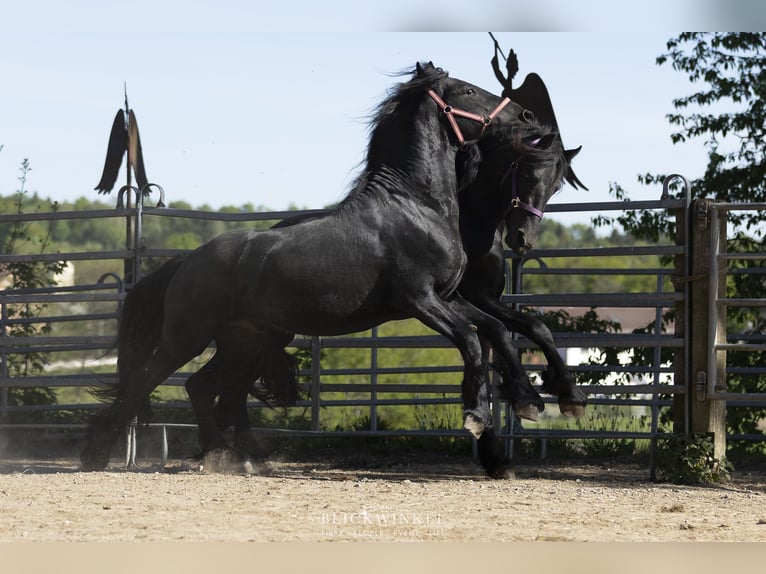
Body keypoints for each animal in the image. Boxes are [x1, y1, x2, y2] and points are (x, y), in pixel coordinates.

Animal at [80, 62, 553, 473]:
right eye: (468, 90)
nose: (528, 116)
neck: (415, 207)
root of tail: (186, 260)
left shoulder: (450, 297)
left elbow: (497, 332)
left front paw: (528, 403)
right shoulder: (420, 300)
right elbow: (472, 340)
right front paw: (476, 415)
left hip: (244, 340)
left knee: (206, 388)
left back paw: (230, 457)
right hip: (188, 338)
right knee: (144, 382)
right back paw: (99, 454)